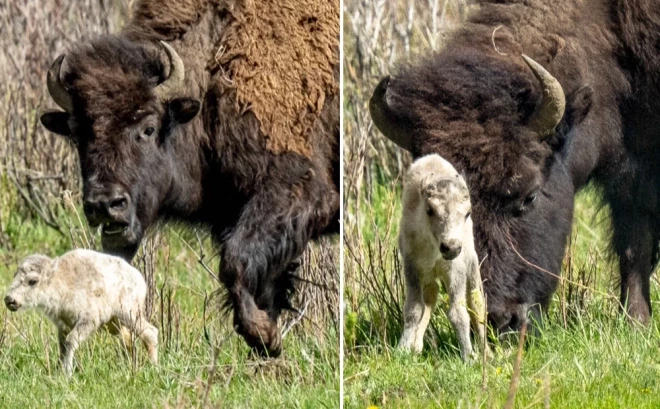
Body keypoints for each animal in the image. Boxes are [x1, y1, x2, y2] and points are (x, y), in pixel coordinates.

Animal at [4, 247, 159, 374]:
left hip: (128, 314)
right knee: (128, 341)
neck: (61, 281)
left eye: (32, 281)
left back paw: (153, 367)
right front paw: (60, 370)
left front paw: (67, 372)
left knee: (150, 332)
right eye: (15, 275)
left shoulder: (88, 320)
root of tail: (140, 279)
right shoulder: (63, 325)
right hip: (115, 324)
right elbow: (62, 347)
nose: (9, 299)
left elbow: (70, 341)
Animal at [40, 0, 340, 356]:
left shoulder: (299, 190)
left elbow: (235, 262)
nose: (105, 204)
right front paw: (268, 339)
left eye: (148, 128)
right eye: (76, 134)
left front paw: (263, 335)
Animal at [372, 0, 660, 332]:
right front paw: (637, 323)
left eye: (530, 195)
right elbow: (634, 247)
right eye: (431, 208)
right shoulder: (629, 179)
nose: (501, 319)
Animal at [400, 154, 488, 360]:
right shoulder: (412, 268)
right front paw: (403, 349)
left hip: (472, 266)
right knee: (431, 295)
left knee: (477, 304)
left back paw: (487, 352)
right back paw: (417, 345)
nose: (451, 247)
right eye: (430, 210)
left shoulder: (455, 271)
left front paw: (469, 356)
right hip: (429, 276)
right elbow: (414, 308)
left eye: (467, 213)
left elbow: (459, 312)